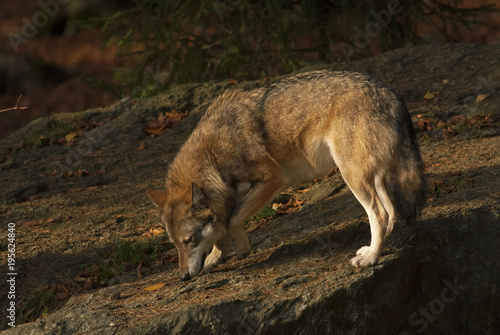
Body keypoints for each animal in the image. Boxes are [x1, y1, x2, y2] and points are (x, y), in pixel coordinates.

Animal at [146, 70, 424, 280]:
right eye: (175, 244)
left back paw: (370, 259)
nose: (183, 277)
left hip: (353, 177)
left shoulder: (272, 179)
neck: (212, 156)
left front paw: (242, 249)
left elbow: (233, 220)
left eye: (189, 240)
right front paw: (216, 258)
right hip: (370, 177)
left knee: (380, 214)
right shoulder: (227, 198)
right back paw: (375, 248)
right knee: (390, 213)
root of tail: (393, 95)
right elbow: (222, 228)